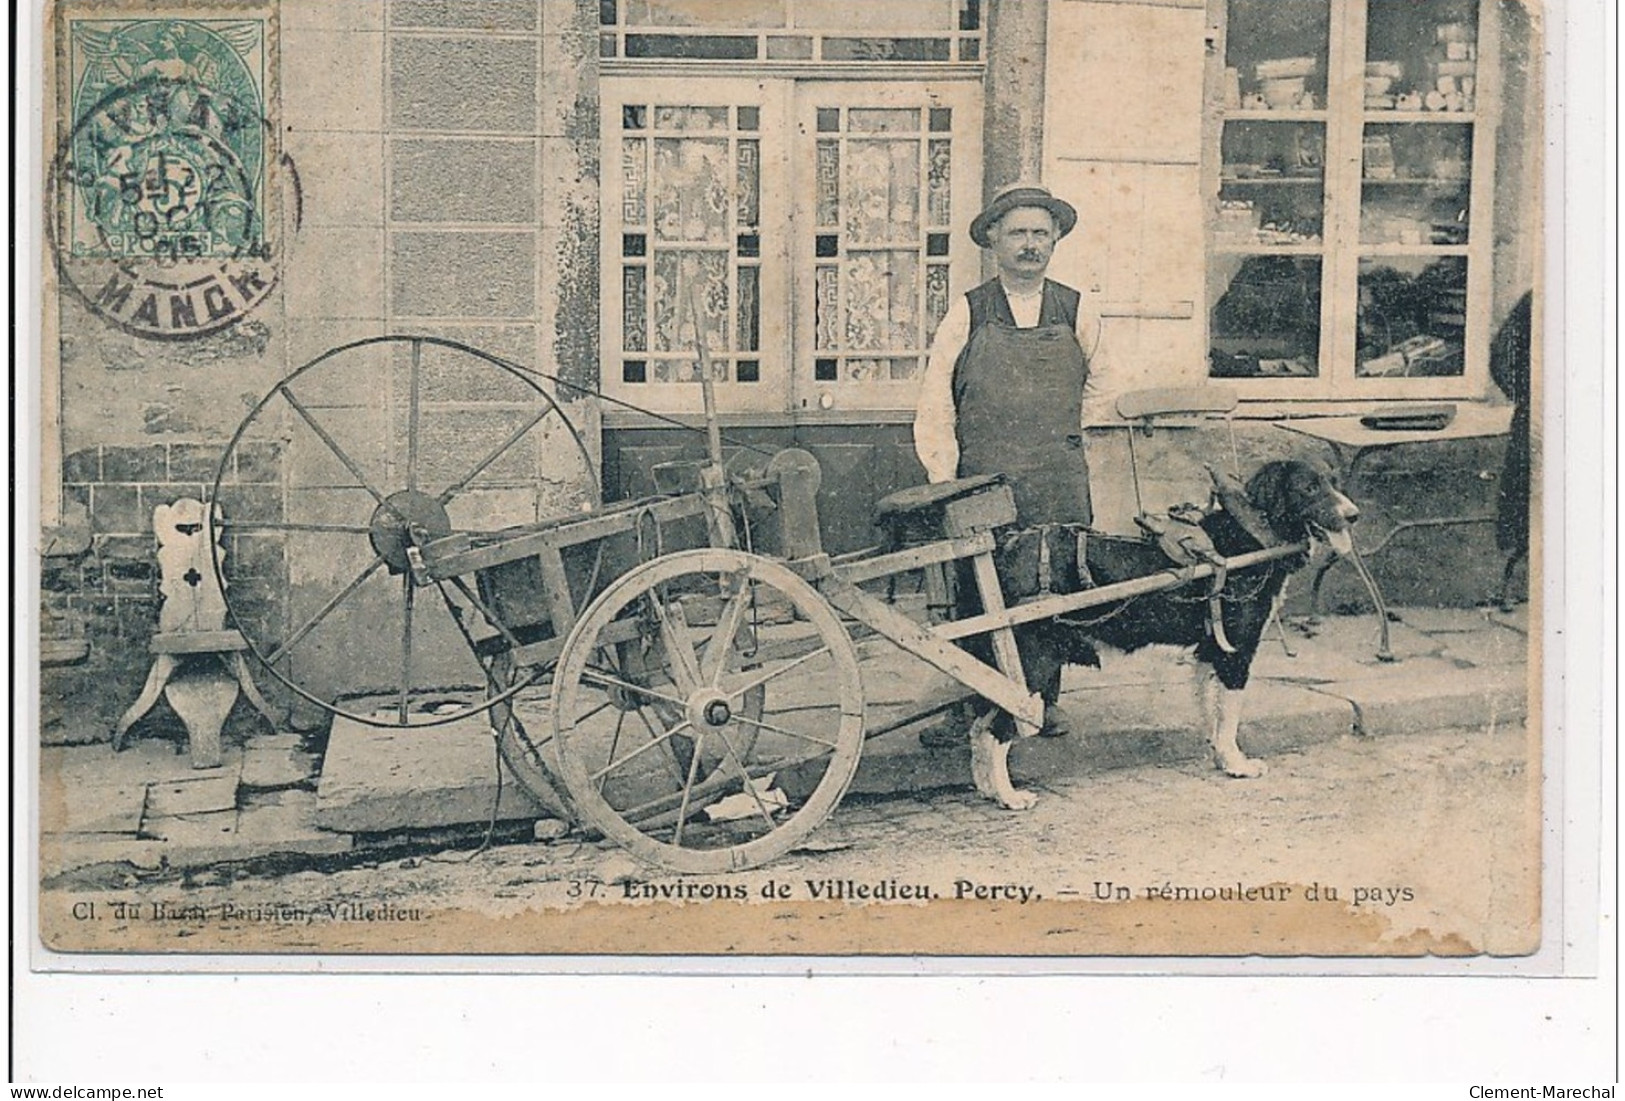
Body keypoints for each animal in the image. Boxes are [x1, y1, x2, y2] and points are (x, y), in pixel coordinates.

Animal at [968, 457, 1365, 811]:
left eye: (1333, 482)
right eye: (1309, 487)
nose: (1354, 515)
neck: (1252, 536)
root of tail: (1006, 549)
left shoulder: (1210, 651)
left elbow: (1212, 714)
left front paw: (1222, 760)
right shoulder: (1235, 653)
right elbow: (1229, 717)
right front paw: (1238, 764)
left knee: (978, 728)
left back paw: (987, 790)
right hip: (1032, 667)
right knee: (997, 730)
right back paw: (1009, 797)